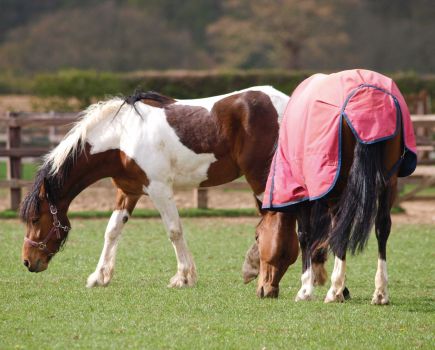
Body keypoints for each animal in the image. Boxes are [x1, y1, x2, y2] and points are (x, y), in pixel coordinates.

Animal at [19, 86, 296, 288]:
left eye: (35, 219)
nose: (27, 262)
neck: (122, 136)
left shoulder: (159, 189)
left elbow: (174, 231)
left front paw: (183, 277)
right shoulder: (128, 191)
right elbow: (112, 231)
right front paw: (99, 276)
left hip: (260, 178)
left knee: (277, 217)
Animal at [255, 69, 418, 302]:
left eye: (257, 237)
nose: (262, 290)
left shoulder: (303, 192)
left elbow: (305, 235)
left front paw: (306, 289)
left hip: (339, 186)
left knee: (342, 229)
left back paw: (334, 291)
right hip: (389, 181)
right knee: (382, 227)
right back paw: (380, 292)